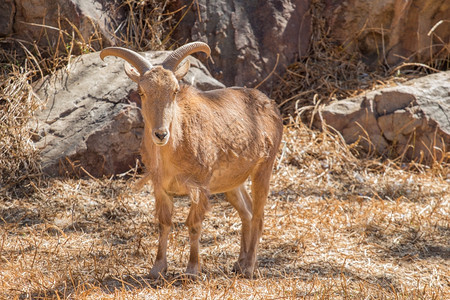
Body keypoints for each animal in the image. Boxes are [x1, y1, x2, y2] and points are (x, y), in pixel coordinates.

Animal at [100, 42, 284, 278]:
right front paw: (157, 269)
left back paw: (249, 267)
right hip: (232, 183)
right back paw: (239, 263)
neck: (173, 152)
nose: (160, 134)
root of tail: (271, 105)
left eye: (175, 90)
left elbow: (194, 225)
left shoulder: (200, 186)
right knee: (247, 212)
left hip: (264, 168)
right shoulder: (161, 188)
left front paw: (192, 269)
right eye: (141, 92)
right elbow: (164, 223)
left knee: (259, 216)